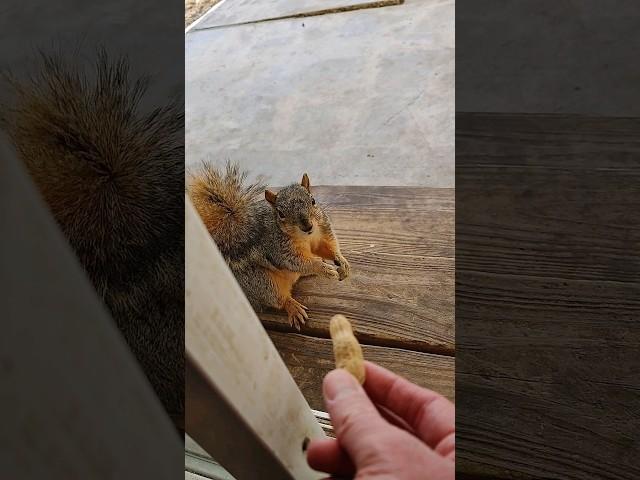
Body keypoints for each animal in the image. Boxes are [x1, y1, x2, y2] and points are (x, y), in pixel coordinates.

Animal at [188, 161, 352, 330]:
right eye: (281, 214)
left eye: (313, 201)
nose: (307, 226)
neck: (306, 237)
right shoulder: (279, 250)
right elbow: (298, 262)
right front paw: (321, 268)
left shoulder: (321, 233)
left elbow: (327, 247)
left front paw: (342, 262)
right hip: (262, 282)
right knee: (280, 298)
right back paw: (293, 307)